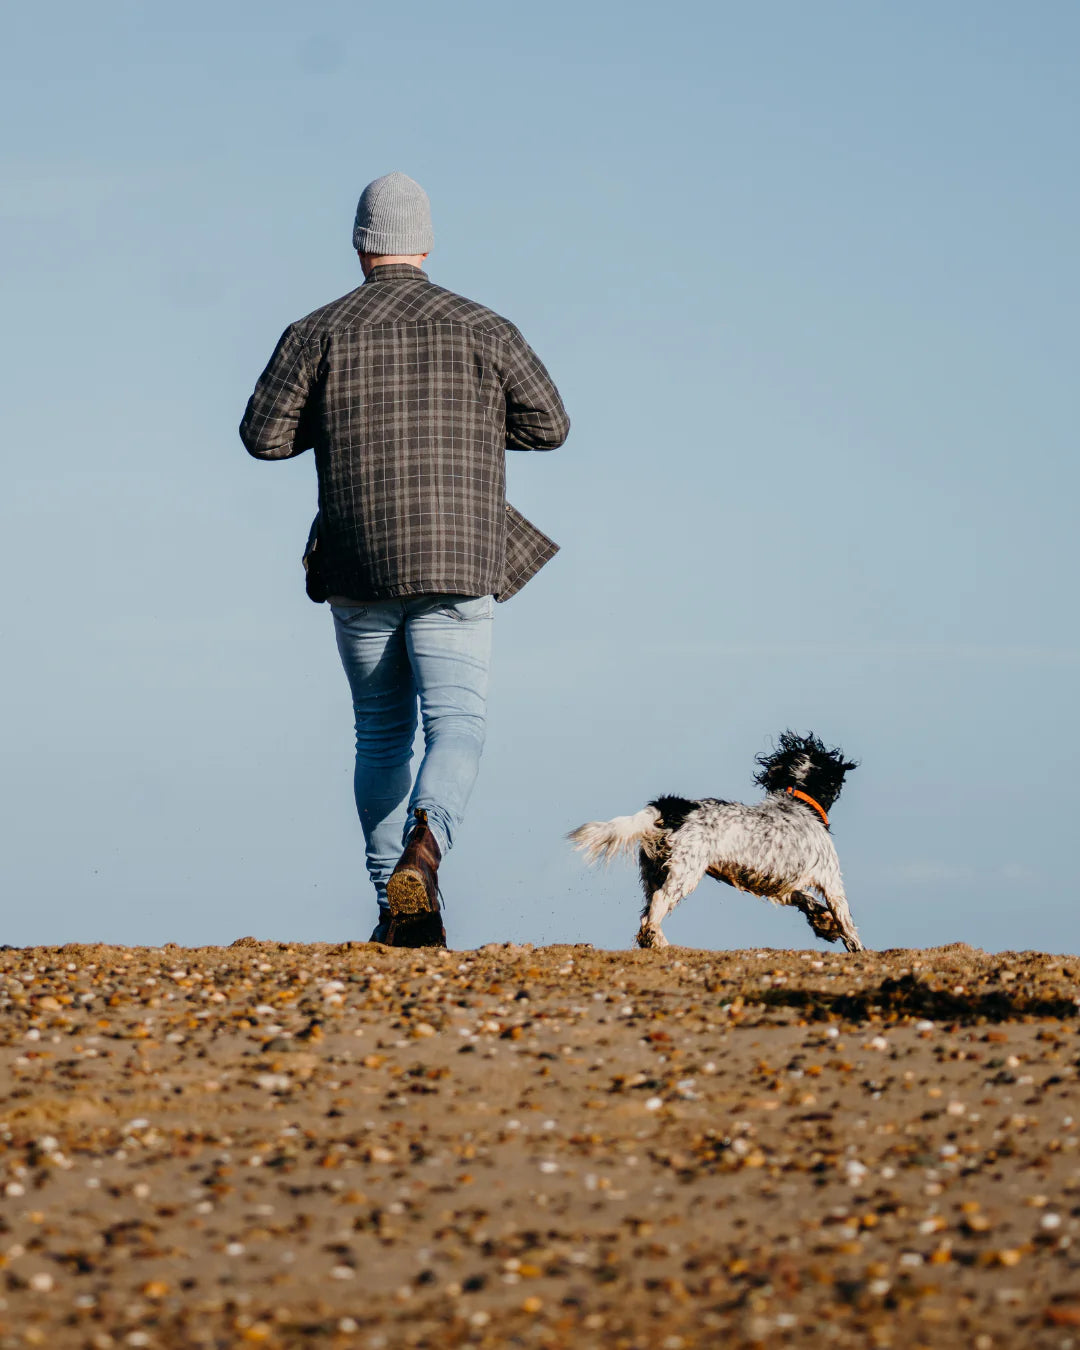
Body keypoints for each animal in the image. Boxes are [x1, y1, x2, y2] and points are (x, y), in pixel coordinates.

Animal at [569, 734, 864, 955]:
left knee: (645, 913)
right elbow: (847, 922)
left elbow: (807, 900)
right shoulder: (831, 880)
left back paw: (655, 942)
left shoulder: (783, 887)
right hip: (685, 873)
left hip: (654, 871)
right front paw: (857, 947)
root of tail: (673, 807)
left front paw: (823, 923)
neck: (798, 802)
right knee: (659, 904)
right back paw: (660, 941)